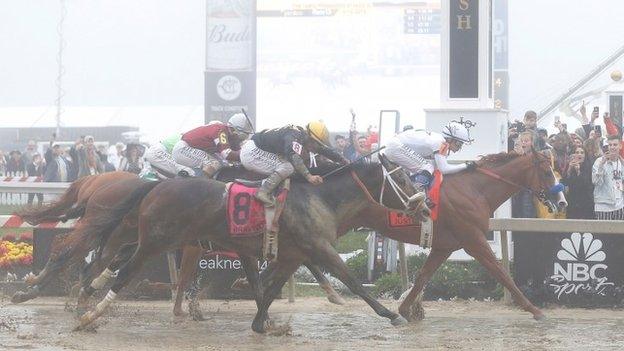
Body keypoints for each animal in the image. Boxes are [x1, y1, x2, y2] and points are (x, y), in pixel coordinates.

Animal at [74, 160, 424, 332]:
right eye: (401, 179)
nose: (425, 204)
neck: (319, 199)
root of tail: (158, 184)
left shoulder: (290, 256)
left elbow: (266, 290)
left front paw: (264, 323)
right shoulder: (319, 247)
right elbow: (353, 282)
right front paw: (391, 314)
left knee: (109, 264)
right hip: (155, 242)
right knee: (122, 272)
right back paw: (89, 315)